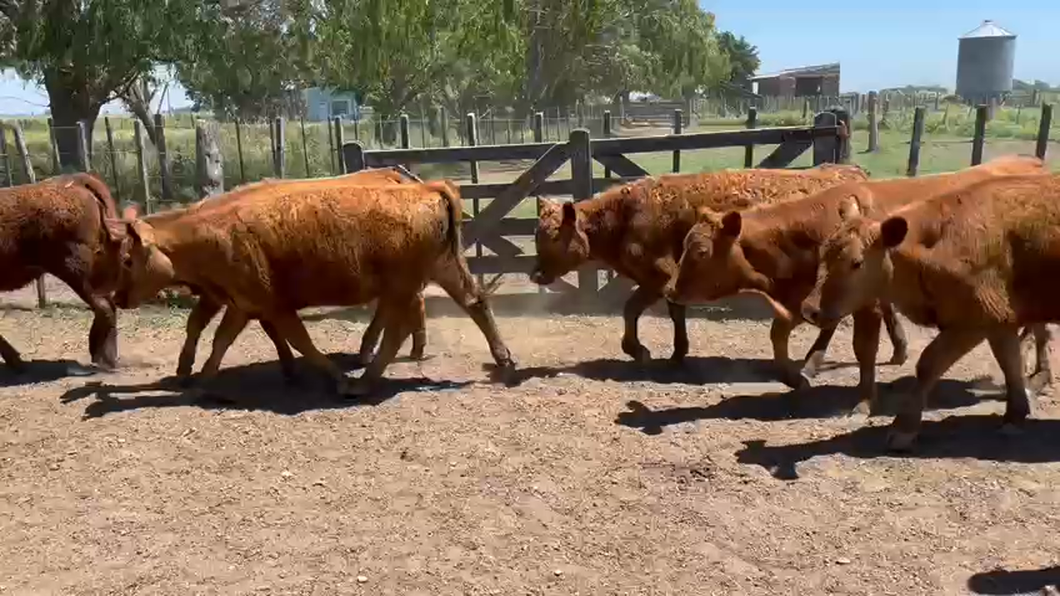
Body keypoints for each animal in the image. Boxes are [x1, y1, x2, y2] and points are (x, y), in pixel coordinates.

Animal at [113, 176, 515, 394]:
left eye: (128, 259)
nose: (117, 297)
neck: (216, 232)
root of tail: (427, 189)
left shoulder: (269, 305)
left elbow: (300, 341)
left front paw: (333, 377)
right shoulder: (241, 304)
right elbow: (221, 340)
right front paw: (200, 380)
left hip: (404, 285)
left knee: (397, 329)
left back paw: (364, 379)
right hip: (443, 270)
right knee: (476, 302)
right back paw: (503, 358)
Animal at [530, 160, 869, 362]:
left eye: (553, 238)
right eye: (537, 234)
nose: (535, 274)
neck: (625, 217)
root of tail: (850, 172)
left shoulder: (659, 276)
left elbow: (633, 309)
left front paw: (638, 350)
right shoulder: (671, 281)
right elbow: (673, 311)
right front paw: (678, 351)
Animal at [665, 152, 1047, 402]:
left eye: (700, 251)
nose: (670, 289)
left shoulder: (862, 302)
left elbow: (862, 345)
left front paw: (861, 394)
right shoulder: (810, 297)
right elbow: (783, 332)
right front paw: (796, 375)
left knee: (1041, 331)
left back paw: (1037, 377)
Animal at [801, 172, 1060, 449]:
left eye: (856, 262)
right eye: (822, 252)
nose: (809, 309)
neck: (939, 243)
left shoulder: (973, 323)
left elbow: (929, 363)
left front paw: (903, 428)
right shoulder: (999, 321)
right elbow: (1010, 363)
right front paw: (1015, 415)